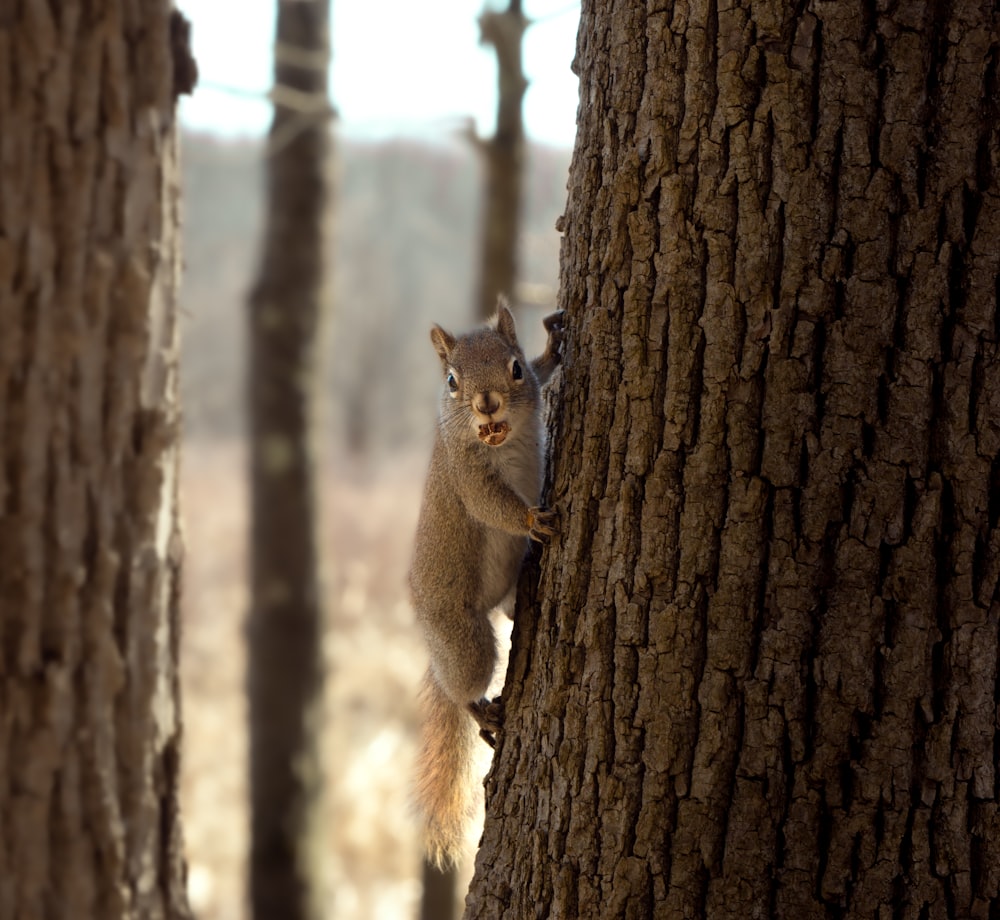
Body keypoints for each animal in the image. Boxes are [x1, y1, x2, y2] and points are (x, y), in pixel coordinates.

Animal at [406, 298, 564, 868]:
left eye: (514, 368)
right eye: (452, 381)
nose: (487, 403)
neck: (505, 439)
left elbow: (545, 375)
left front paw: (552, 349)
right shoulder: (467, 478)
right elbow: (494, 507)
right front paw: (533, 520)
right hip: (463, 637)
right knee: (462, 688)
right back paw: (482, 712)